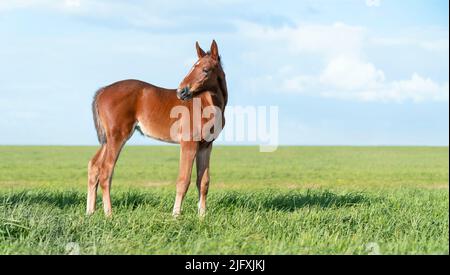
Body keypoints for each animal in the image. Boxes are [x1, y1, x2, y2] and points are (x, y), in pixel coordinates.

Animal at [87, 40, 229, 218]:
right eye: (191, 68)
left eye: (205, 69)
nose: (181, 91)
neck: (205, 104)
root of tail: (103, 91)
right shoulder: (188, 143)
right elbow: (183, 180)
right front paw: (176, 215)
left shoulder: (206, 146)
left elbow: (203, 181)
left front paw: (202, 216)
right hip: (117, 136)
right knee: (106, 171)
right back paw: (109, 214)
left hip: (107, 139)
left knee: (94, 166)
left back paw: (90, 212)